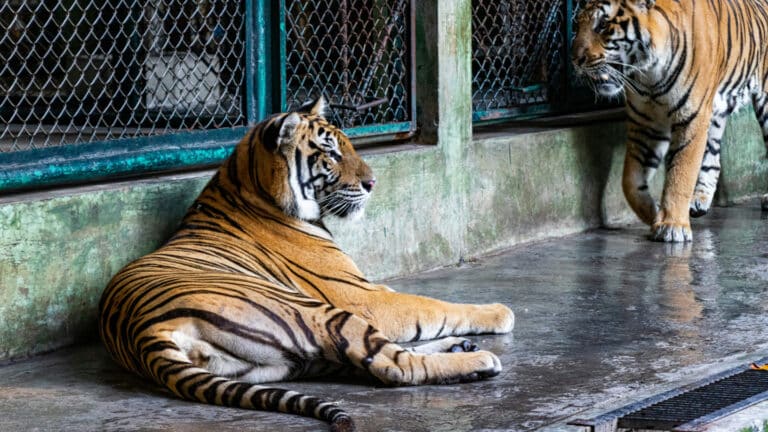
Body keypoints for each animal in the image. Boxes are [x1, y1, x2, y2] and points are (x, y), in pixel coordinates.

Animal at [98, 97, 515, 432]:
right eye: (331, 154)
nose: (373, 183)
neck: (251, 187)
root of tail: (144, 333)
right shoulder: (363, 297)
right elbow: (434, 306)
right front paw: (498, 311)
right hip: (319, 314)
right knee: (394, 366)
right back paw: (478, 359)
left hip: (281, 363)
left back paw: (458, 347)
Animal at [572, 0, 768, 242]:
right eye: (576, 26)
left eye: (603, 25)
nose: (575, 59)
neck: (648, 75)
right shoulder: (646, 124)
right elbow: (630, 181)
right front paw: (654, 213)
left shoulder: (691, 117)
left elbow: (680, 173)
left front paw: (673, 225)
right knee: (713, 158)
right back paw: (699, 201)